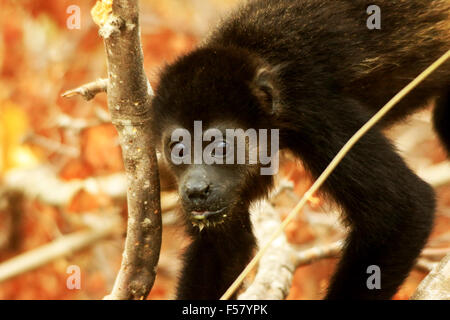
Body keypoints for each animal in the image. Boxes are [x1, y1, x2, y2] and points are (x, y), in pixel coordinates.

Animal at [151, 0, 450, 300]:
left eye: (221, 146)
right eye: (178, 148)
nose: (196, 189)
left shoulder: (313, 107)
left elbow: (402, 208)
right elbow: (221, 245)